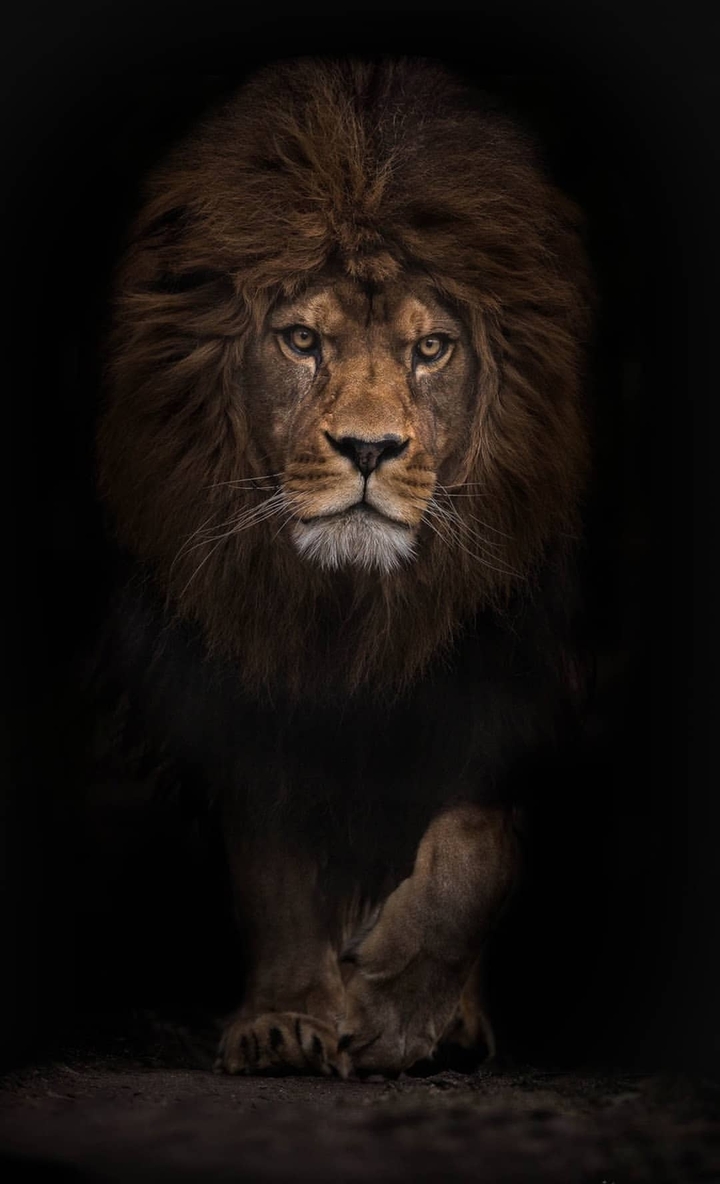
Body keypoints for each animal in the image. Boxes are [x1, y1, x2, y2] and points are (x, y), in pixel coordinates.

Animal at [97, 57, 592, 1077]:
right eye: (302, 340)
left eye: (431, 348)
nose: (369, 449)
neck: (350, 610)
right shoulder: (242, 678)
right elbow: (273, 867)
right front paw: (289, 1018)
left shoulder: (514, 672)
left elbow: (474, 846)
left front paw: (400, 1010)